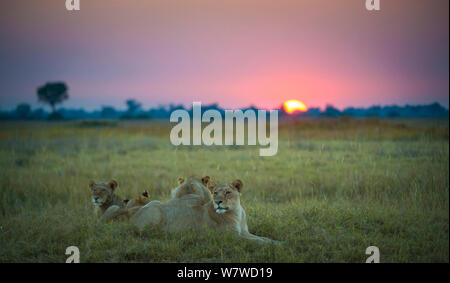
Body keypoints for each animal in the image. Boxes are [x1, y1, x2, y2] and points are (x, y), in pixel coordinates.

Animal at [131, 175, 278, 244]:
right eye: (215, 193)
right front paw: (276, 245)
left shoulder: (245, 232)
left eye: (227, 192)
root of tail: (133, 217)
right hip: (155, 212)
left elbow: (263, 238)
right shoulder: (232, 237)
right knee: (148, 232)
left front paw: (277, 242)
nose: (218, 202)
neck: (237, 213)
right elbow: (257, 242)